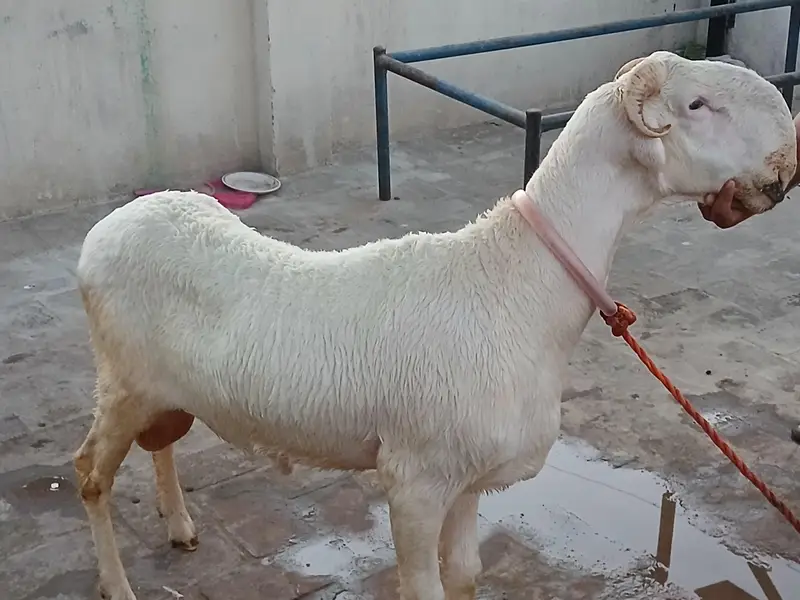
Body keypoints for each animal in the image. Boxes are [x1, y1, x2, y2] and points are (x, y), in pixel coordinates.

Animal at [73, 50, 795, 600]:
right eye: (697, 106)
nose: (788, 160)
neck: (518, 283)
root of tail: (118, 222)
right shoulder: (415, 480)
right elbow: (424, 588)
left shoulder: (467, 477)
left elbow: (466, 575)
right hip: (121, 383)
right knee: (89, 476)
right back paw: (116, 583)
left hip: (162, 388)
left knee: (161, 443)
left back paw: (178, 524)